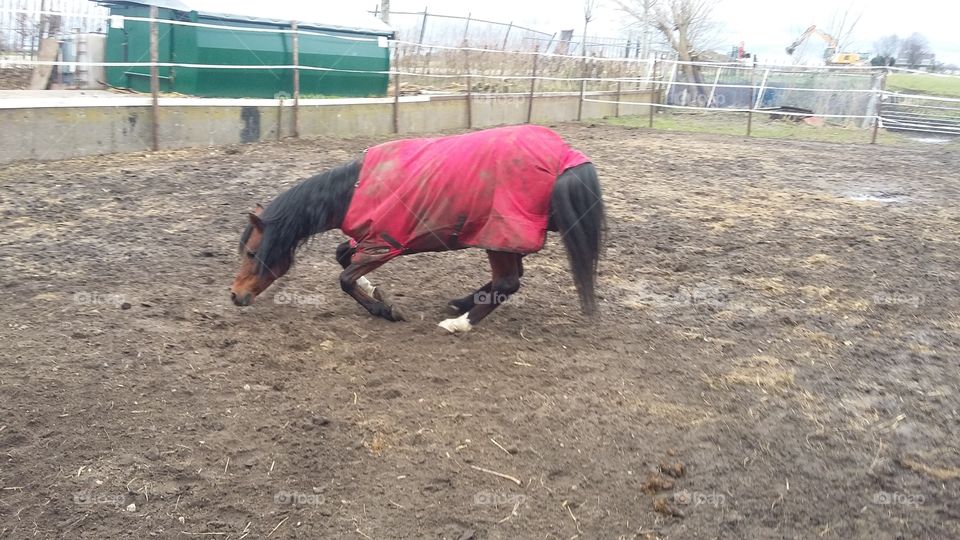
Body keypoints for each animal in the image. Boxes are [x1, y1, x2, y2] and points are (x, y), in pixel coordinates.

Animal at [230, 124, 604, 333]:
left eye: (252, 253)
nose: (234, 296)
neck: (355, 189)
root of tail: (566, 158)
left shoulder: (385, 243)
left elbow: (345, 277)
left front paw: (384, 309)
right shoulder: (370, 238)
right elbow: (342, 256)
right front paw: (373, 288)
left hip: (500, 234)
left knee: (508, 282)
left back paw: (459, 324)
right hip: (504, 237)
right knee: (511, 278)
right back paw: (461, 303)